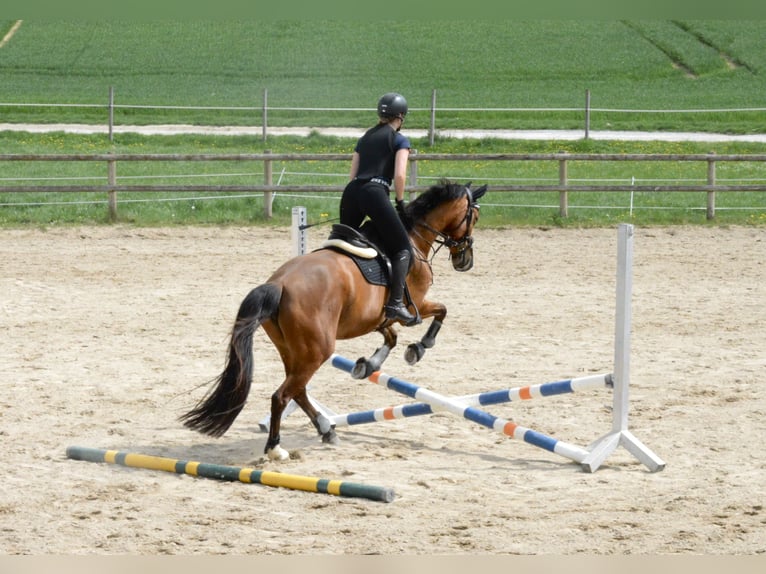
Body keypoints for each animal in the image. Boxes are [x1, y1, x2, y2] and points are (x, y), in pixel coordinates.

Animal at [182, 181, 486, 464]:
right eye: (474, 217)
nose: (465, 260)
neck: (414, 237)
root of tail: (278, 284)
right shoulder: (416, 306)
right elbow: (441, 312)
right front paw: (420, 347)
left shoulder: (378, 317)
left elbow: (391, 336)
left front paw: (366, 366)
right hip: (316, 351)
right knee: (281, 396)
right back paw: (276, 448)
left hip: (294, 351)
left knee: (298, 391)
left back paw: (326, 429)